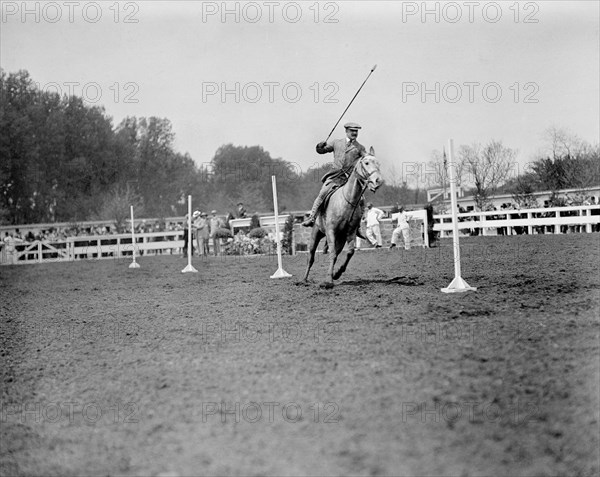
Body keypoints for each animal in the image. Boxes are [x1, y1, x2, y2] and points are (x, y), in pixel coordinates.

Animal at [302, 146, 382, 286]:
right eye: (366, 163)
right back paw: (304, 279)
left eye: (378, 163)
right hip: (316, 233)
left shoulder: (350, 233)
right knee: (311, 256)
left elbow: (349, 252)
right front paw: (328, 280)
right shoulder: (330, 231)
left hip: (340, 238)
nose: (378, 180)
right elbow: (332, 253)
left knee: (337, 253)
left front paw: (337, 274)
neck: (347, 201)